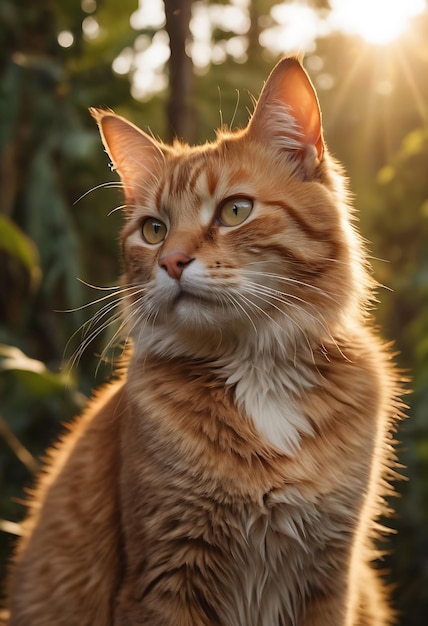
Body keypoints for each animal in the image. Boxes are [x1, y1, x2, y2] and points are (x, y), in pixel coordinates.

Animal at [6, 58, 402, 624]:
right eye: (153, 230)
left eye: (235, 211)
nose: (171, 261)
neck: (257, 369)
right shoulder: (165, 575)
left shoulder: (331, 578)